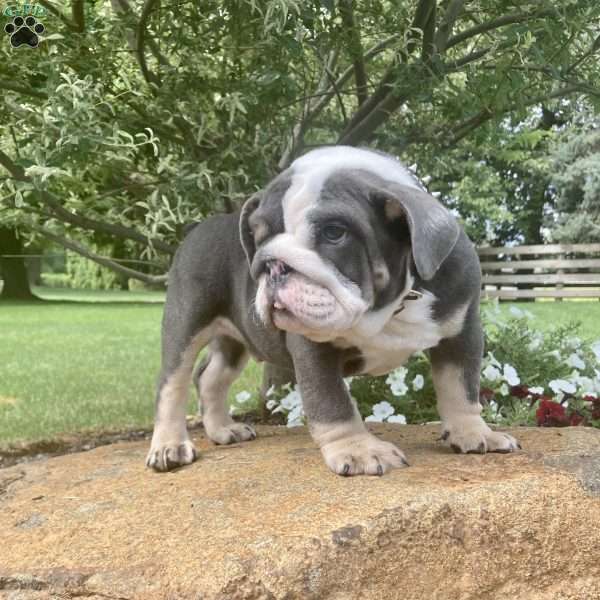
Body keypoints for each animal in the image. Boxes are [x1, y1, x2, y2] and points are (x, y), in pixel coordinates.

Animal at [146, 146, 520, 478]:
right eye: (257, 237)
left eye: (334, 233)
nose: (272, 264)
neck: (389, 307)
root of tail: (196, 230)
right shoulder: (311, 348)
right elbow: (331, 401)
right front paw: (359, 451)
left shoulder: (462, 331)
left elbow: (461, 387)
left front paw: (474, 433)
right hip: (185, 321)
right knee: (172, 383)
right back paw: (168, 447)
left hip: (234, 340)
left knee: (211, 376)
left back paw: (224, 429)